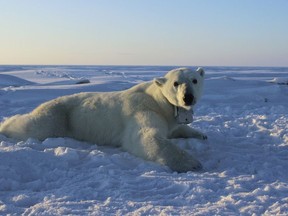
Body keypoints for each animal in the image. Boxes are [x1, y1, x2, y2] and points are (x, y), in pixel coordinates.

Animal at [0, 67, 207, 172]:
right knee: (34, 126)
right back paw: (5, 125)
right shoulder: (142, 110)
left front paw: (201, 135)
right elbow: (145, 136)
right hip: (59, 116)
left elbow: (176, 128)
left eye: (194, 80)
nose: (188, 97)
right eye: (176, 83)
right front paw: (192, 163)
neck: (158, 100)